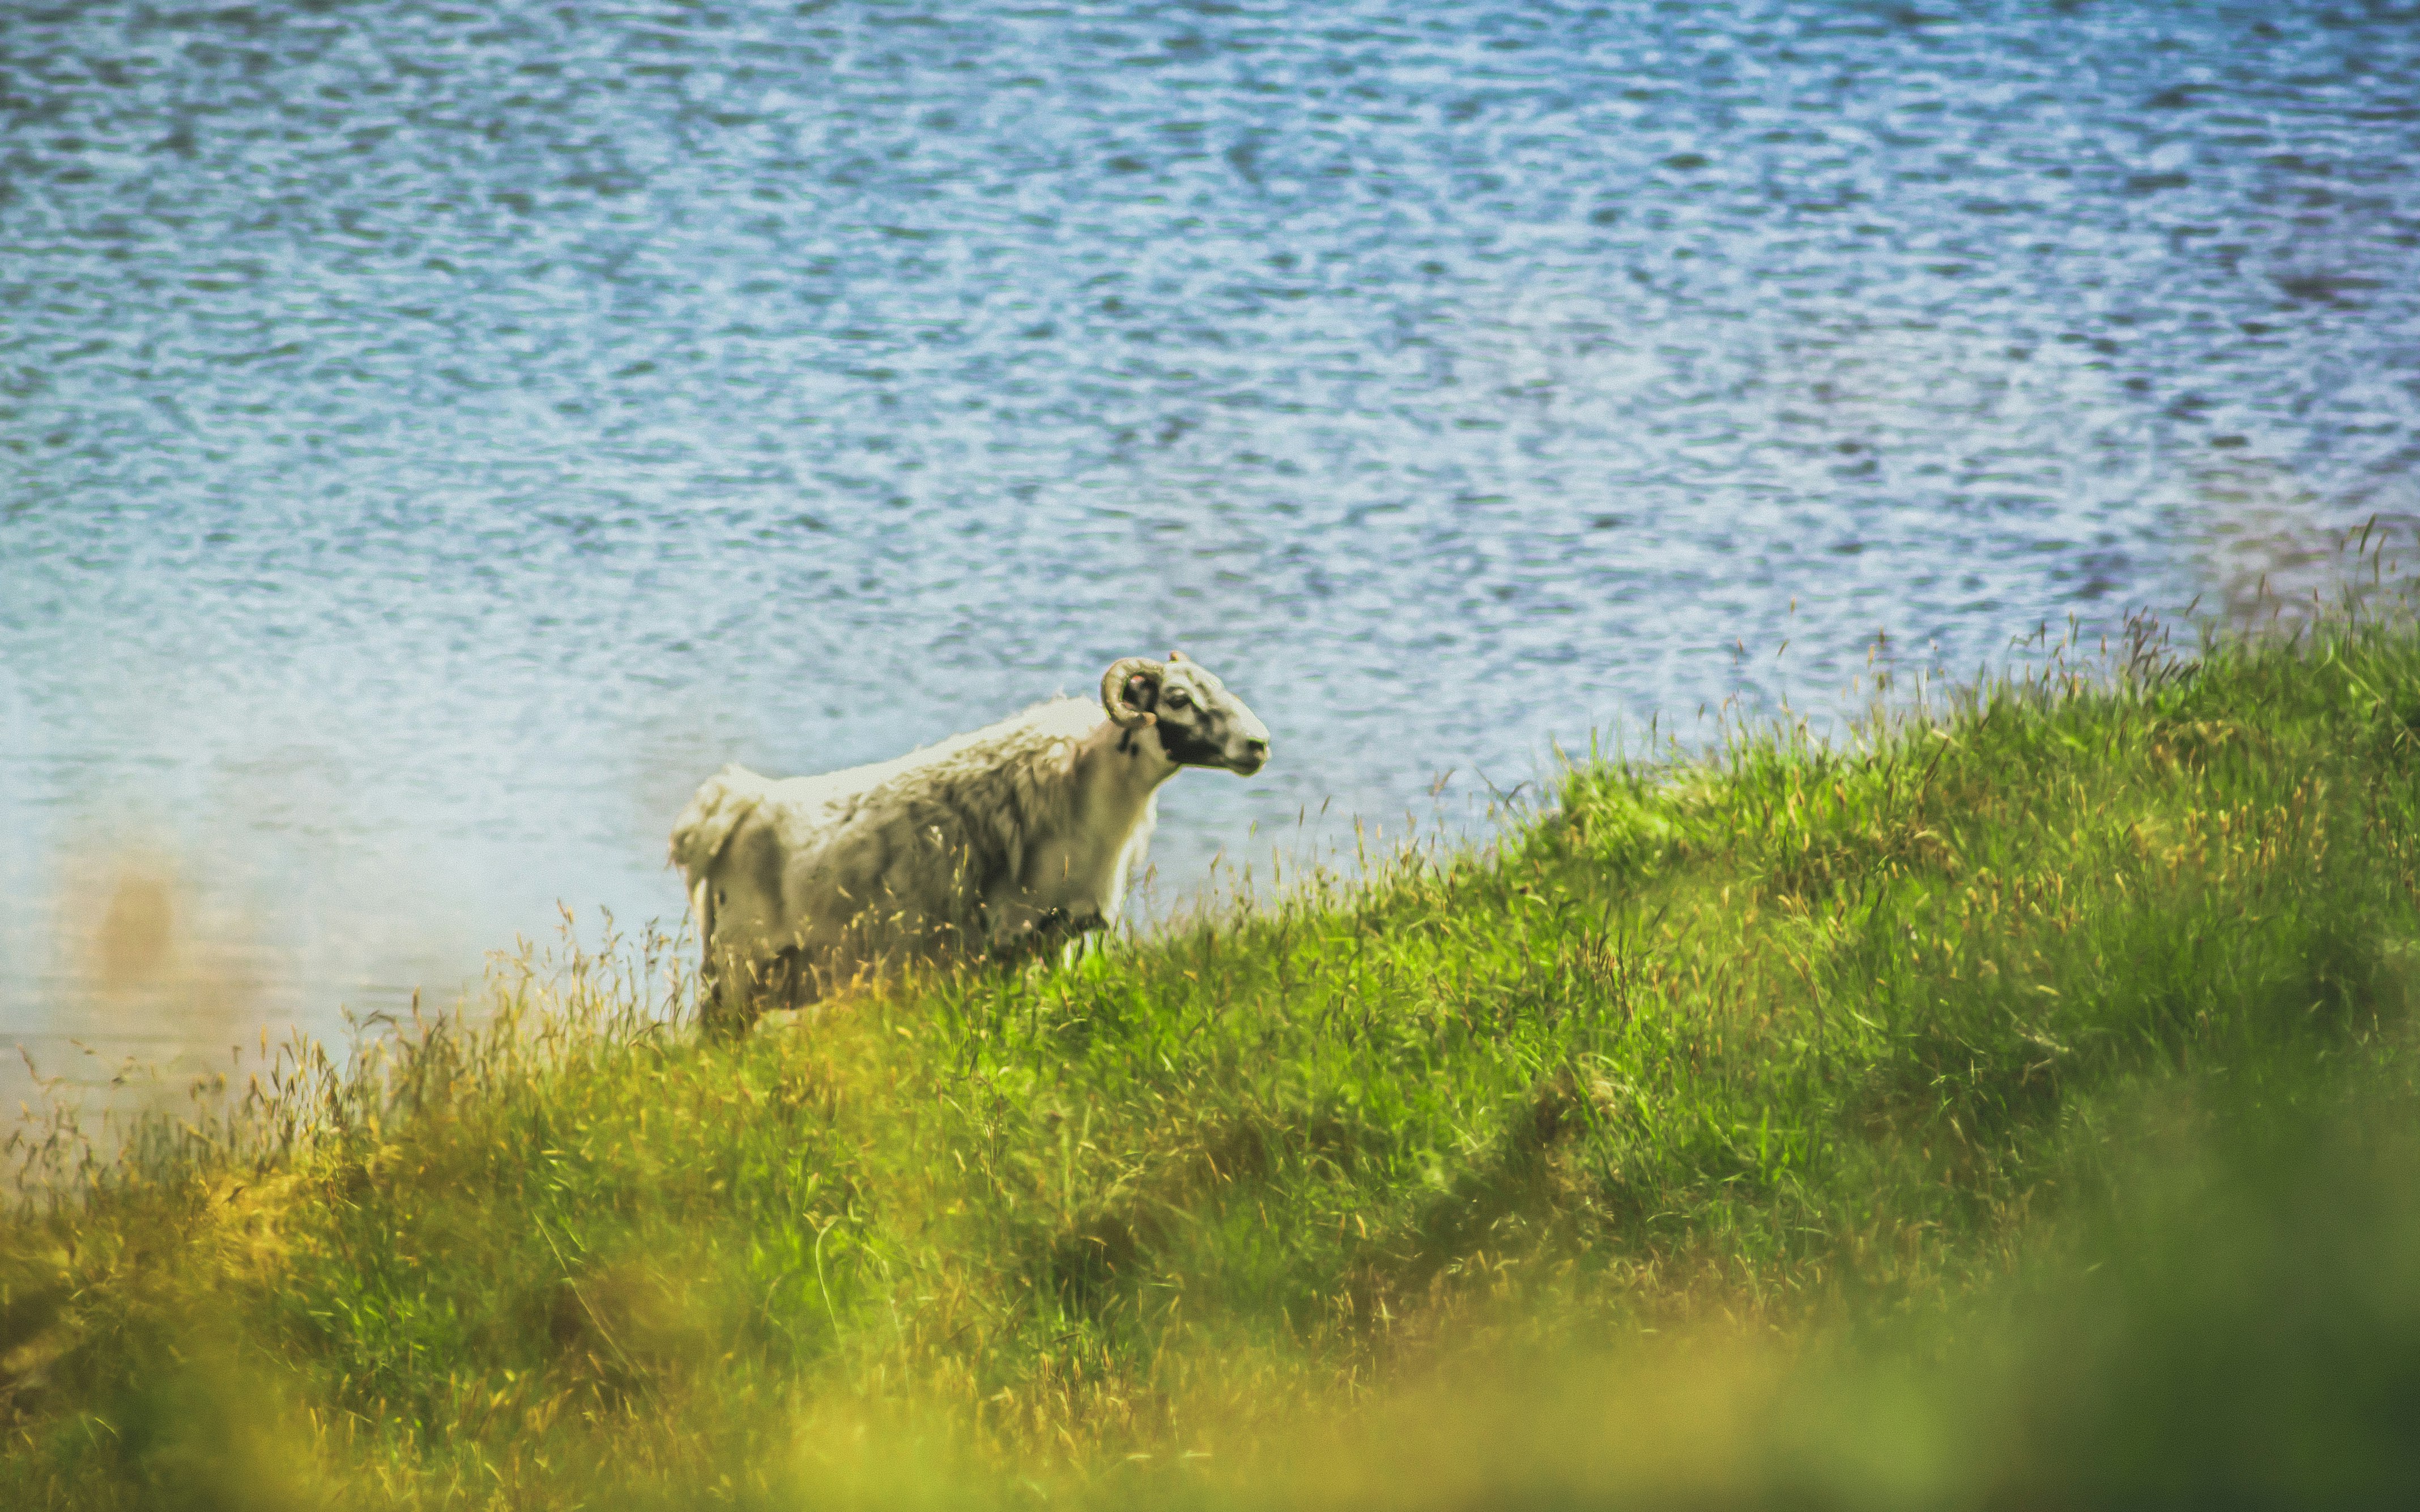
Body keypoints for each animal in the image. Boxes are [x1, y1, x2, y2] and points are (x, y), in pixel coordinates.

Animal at [663, 648, 1268, 1016]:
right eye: (1178, 699)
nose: (1259, 745)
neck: (1094, 786)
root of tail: (732, 803)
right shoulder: (1003, 938)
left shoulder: (1058, 936)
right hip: (740, 964)